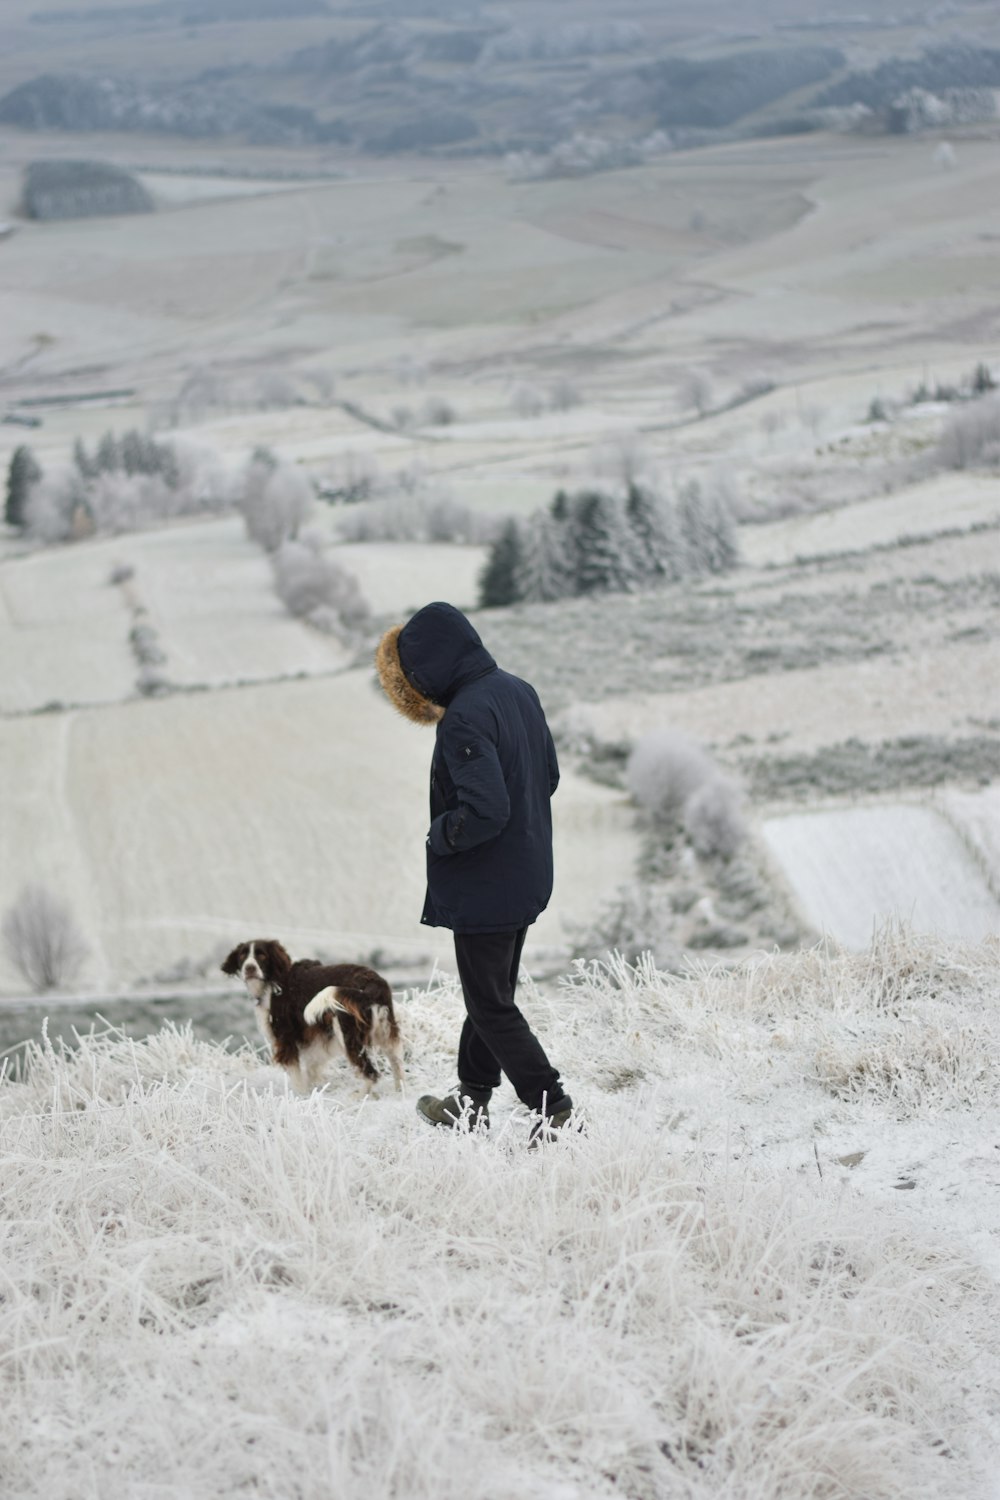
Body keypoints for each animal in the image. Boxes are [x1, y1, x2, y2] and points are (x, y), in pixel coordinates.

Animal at [220, 942, 404, 1098]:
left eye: (262, 955)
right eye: (242, 956)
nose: (249, 968)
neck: (273, 981)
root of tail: (371, 983)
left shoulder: (285, 1038)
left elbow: (296, 1074)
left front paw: (300, 1097)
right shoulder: (317, 1039)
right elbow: (312, 1068)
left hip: (347, 1033)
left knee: (370, 1073)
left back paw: (357, 1097)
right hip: (386, 1031)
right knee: (396, 1063)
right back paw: (400, 1093)